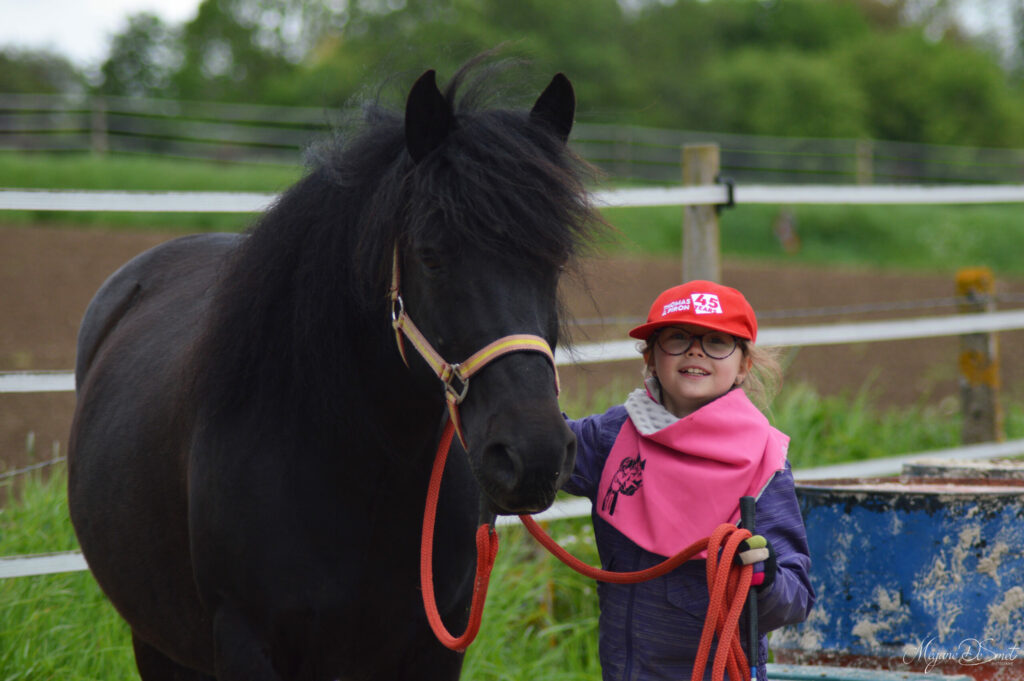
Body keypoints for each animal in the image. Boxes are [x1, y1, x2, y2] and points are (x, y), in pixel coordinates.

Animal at [68, 59, 598, 679]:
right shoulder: (245, 642)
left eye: (554, 259)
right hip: (157, 642)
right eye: (430, 254)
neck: (365, 473)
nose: (533, 455)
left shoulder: (436, 646)